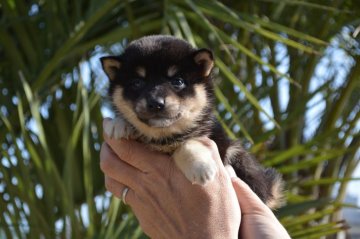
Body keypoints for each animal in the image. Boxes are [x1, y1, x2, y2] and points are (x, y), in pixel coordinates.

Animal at [100, 34, 284, 208]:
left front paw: (200, 166)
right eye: (137, 82)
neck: (164, 138)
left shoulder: (219, 143)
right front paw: (118, 124)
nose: (156, 103)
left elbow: (187, 144)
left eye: (178, 81)